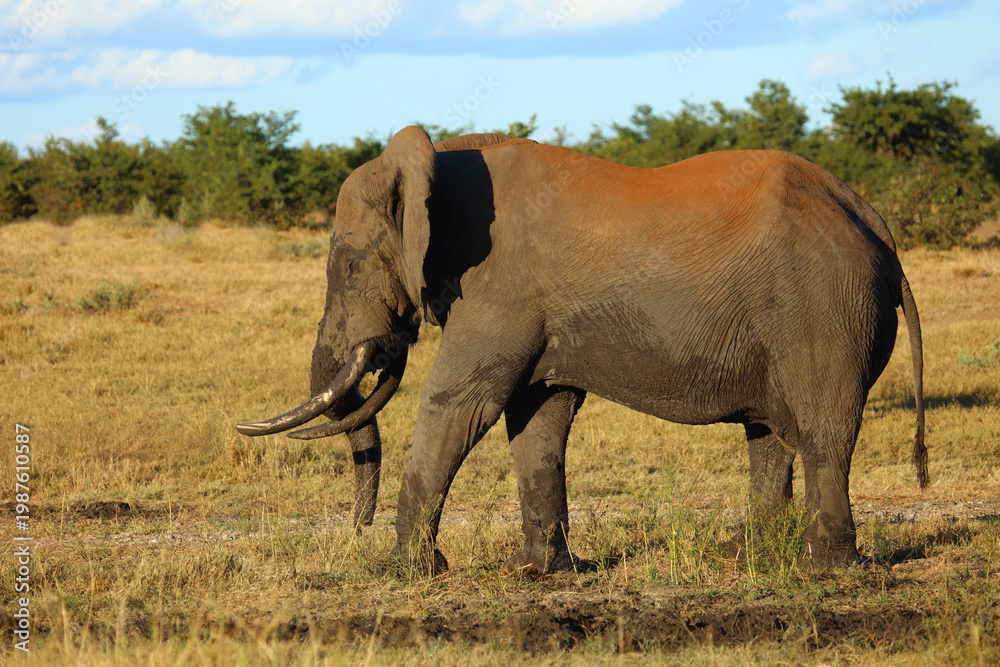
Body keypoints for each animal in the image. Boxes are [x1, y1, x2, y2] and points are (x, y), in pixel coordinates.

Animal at [238, 126, 927, 574]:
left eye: (349, 265)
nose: (357, 527)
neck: (444, 162)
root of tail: (871, 218)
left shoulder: (500, 288)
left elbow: (459, 404)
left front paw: (408, 571)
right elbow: (538, 414)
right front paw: (538, 571)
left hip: (823, 307)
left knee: (823, 431)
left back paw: (822, 568)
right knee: (772, 435)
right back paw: (751, 557)